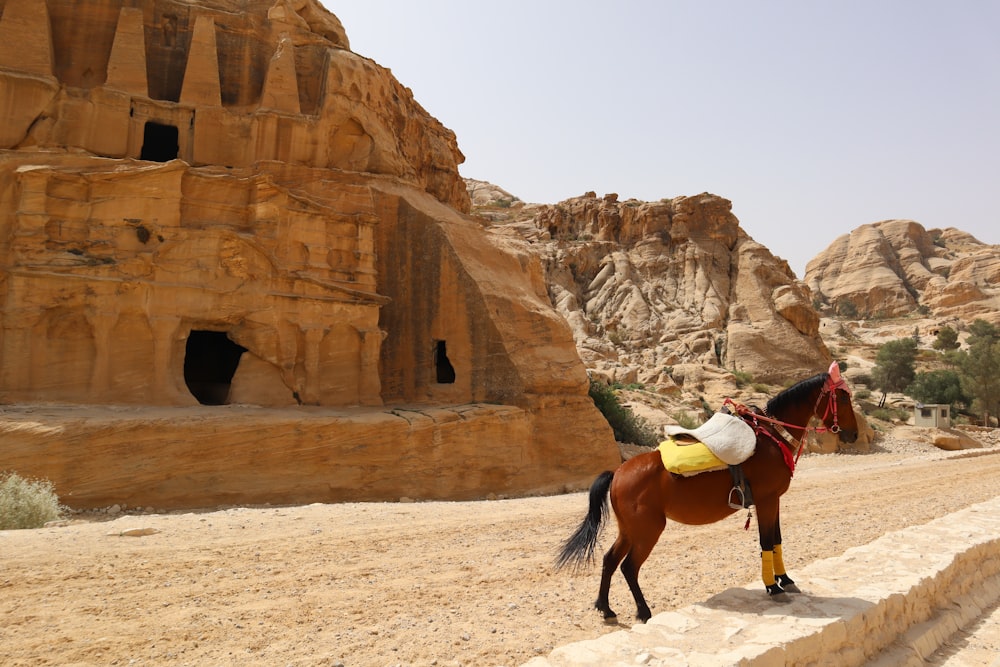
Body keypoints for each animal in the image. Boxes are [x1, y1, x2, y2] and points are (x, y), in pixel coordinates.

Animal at [556, 362, 860, 624]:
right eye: (843, 398)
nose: (854, 434)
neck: (770, 435)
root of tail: (618, 472)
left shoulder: (773, 501)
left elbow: (776, 540)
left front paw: (786, 580)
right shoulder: (766, 499)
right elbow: (766, 541)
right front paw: (773, 587)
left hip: (629, 529)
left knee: (609, 559)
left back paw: (606, 608)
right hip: (648, 529)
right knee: (629, 567)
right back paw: (643, 611)